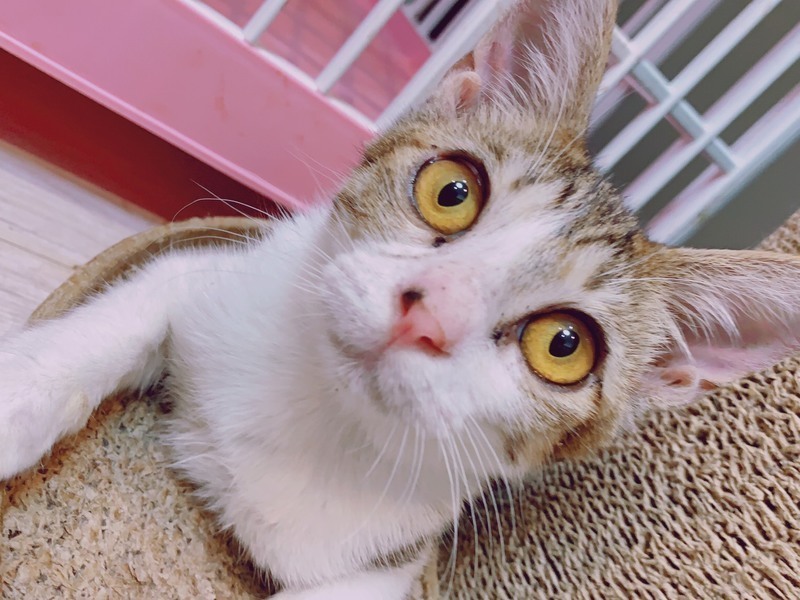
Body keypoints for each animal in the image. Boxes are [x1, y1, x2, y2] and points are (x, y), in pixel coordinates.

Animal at [2, 0, 800, 598]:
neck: (322, 407)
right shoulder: (223, 273)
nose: (430, 313)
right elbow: (131, 310)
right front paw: (18, 397)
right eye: (452, 190)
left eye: (564, 346)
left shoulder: (395, 559)